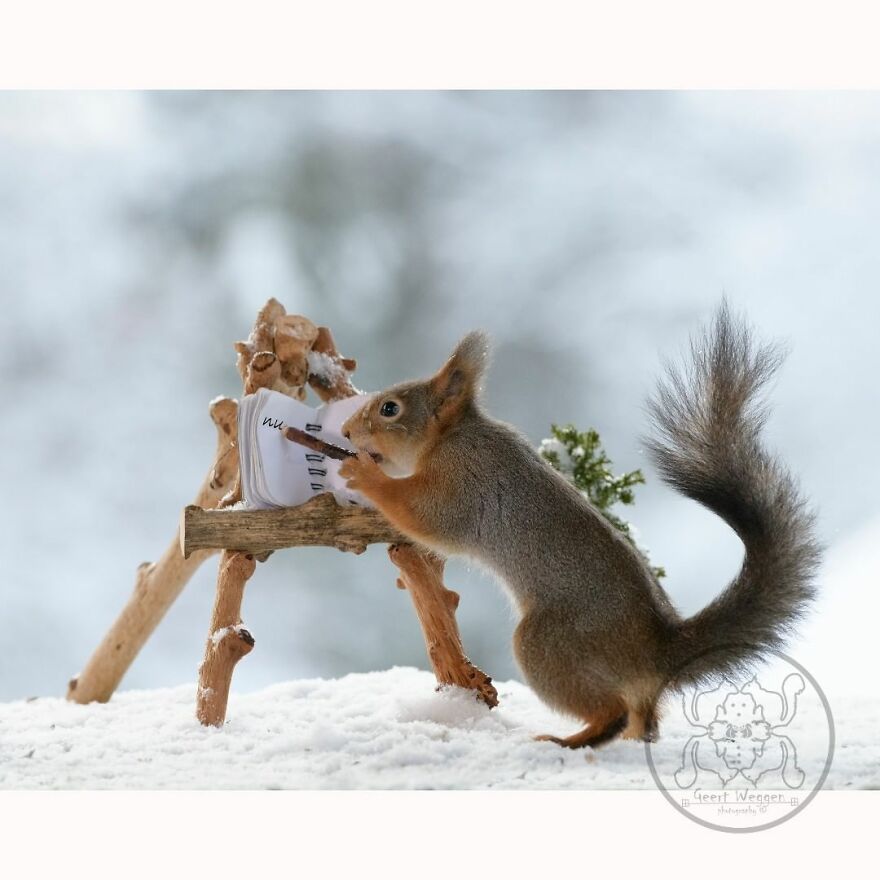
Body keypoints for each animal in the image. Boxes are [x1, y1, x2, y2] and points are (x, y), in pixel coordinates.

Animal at [339, 303, 821, 748]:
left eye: (389, 408)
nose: (344, 431)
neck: (450, 438)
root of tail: (656, 652)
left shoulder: (465, 483)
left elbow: (424, 514)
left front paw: (364, 475)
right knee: (642, 722)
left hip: (551, 644)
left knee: (612, 712)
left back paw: (567, 741)